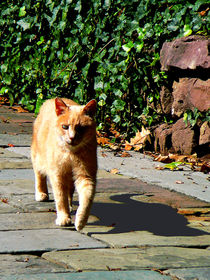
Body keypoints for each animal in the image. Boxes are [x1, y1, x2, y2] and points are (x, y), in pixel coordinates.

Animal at [30, 97, 97, 231]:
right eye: (65, 126)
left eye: (80, 128)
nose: (72, 137)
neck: (71, 154)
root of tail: (50, 100)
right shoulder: (57, 175)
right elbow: (60, 198)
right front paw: (63, 217)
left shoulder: (86, 176)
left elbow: (86, 199)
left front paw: (81, 221)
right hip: (38, 157)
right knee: (39, 174)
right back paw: (41, 193)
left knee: (70, 190)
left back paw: (70, 206)